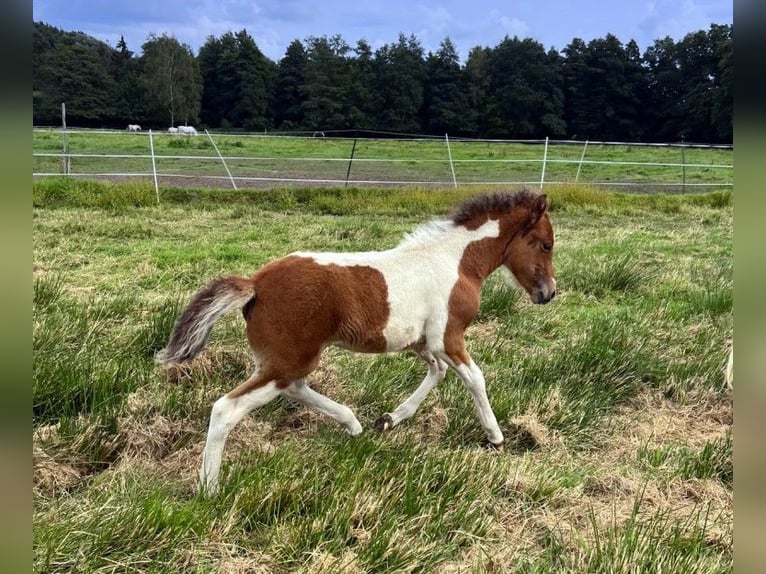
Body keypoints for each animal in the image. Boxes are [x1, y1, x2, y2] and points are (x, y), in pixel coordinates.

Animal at [157, 188, 557, 494]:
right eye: (545, 244)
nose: (549, 293)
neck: (455, 262)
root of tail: (255, 283)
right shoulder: (448, 336)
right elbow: (474, 378)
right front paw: (495, 437)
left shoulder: (423, 343)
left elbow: (437, 372)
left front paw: (390, 419)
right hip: (287, 360)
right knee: (227, 408)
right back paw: (209, 488)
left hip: (291, 359)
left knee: (296, 387)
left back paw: (353, 424)